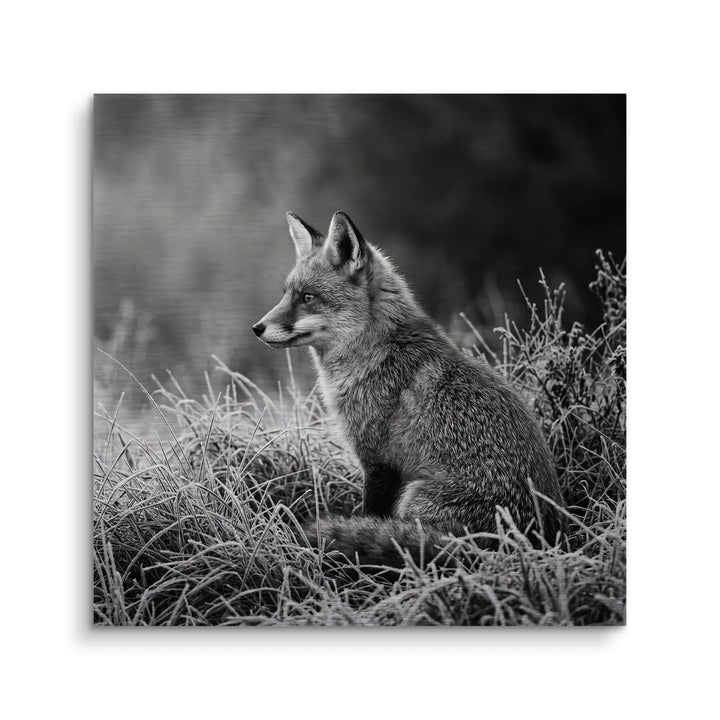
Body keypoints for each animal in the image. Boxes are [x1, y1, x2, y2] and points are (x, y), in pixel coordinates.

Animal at [253, 210, 565, 567]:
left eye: (308, 297)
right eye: (286, 294)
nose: (257, 328)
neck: (378, 351)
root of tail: (530, 543)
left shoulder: (378, 462)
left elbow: (369, 514)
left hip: (413, 497)